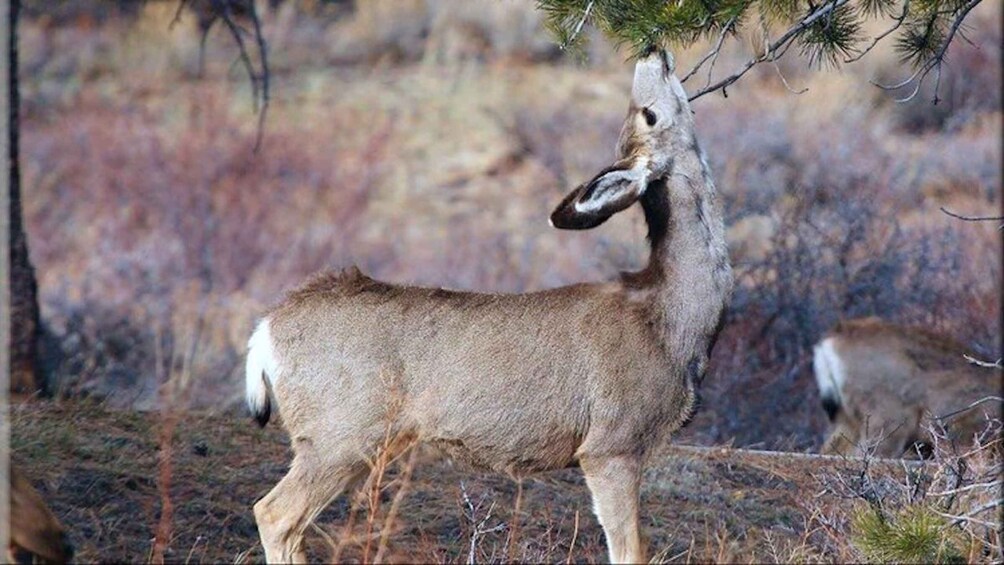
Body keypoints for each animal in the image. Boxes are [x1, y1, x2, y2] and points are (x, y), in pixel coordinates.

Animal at [242, 50, 730, 561]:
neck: (668, 319)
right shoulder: (612, 443)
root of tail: (266, 329)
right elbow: (630, 548)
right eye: (648, 115)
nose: (653, 52)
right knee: (275, 513)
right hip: (339, 430)